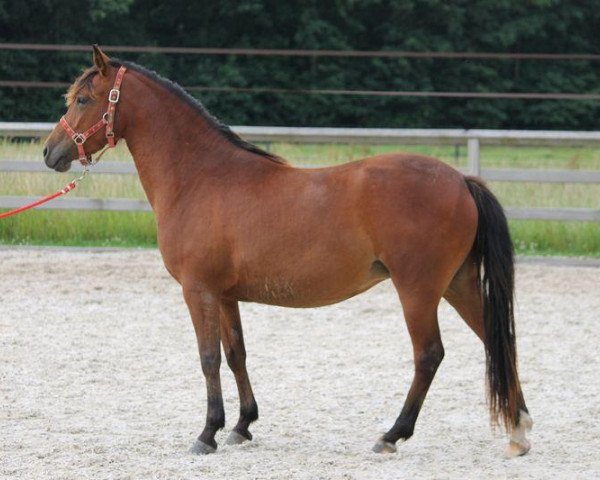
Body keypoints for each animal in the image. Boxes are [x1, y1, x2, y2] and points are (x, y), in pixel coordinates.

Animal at [43, 46, 536, 458]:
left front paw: (207, 433)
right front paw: (242, 425)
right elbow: (236, 354)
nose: (50, 152)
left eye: (83, 99)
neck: (201, 176)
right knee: (498, 339)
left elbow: (207, 358)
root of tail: (461, 181)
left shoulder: (198, 291)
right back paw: (518, 431)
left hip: (418, 290)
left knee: (429, 355)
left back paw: (392, 435)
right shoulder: (225, 295)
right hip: (458, 283)